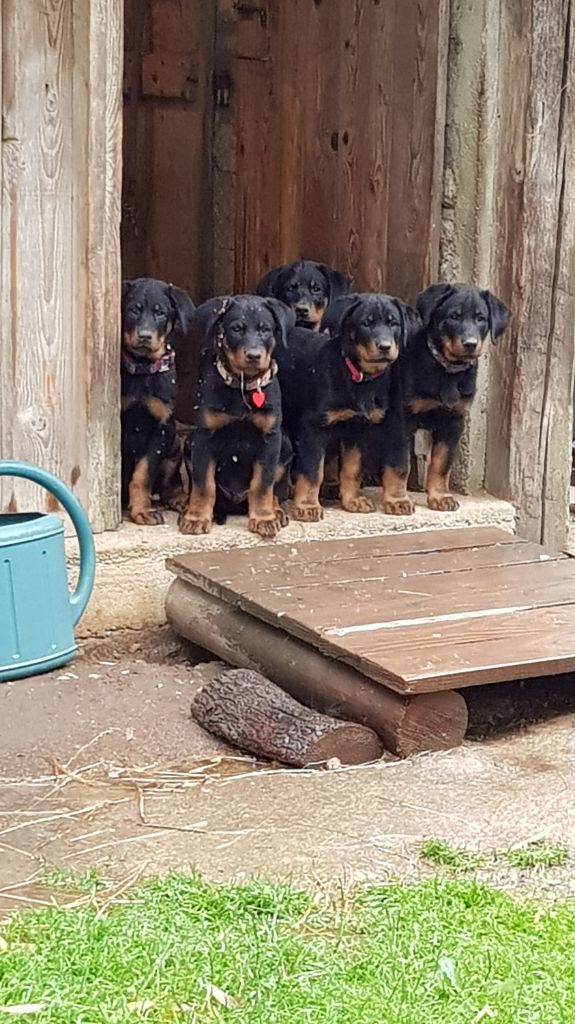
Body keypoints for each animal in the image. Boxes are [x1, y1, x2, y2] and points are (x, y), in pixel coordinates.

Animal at [119, 276, 193, 524]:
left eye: (160, 313)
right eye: (134, 310)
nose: (144, 336)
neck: (143, 369)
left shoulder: (160, 428)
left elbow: (142, 474)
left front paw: (142, 511)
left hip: (174, 446)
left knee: (170, 483)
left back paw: (180, 500)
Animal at [178, 294, 294, 540]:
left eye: (265, 329)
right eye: (236, 328)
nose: (253, 355)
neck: (242, 386)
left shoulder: (270, 440)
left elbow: (263, 484)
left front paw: (264, 519)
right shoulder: (204, 438)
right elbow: (204, 484)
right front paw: (196, 518)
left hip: (285, 445)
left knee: (274, 492)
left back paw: (277, 512)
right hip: (190, 442)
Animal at [290, 294, 415, 520]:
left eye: (394, 323)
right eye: (366, 323)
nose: (385, 347)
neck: (360, 377)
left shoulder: (357, 428)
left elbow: (353, 468)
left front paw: (353, 501)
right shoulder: (313, 428)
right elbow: (312, 471)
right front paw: (307, 507)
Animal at [403, 282, 509, 509]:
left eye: (481, 318)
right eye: (453, 316)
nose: (470, 343)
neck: (449, 371)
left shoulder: (453, 422)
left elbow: (441, 464)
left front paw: (440, 497)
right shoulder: (404, 418)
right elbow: (402, 463)